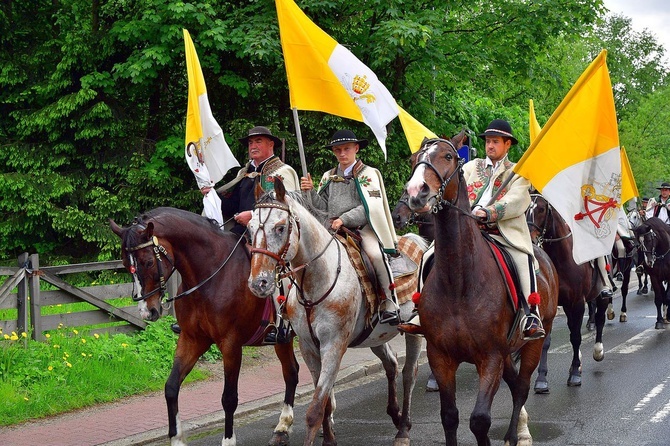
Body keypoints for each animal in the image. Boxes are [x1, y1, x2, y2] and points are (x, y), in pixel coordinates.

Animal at [110, 208, 300, 446]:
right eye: (126, 265)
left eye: (148, 262)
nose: (147, 311)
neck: (211, 276)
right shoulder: (192, 339)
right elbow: (171, 387)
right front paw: (177, 439)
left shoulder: (231, 345)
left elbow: (229, 398)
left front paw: (228, 440)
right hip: (285, 339)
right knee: (292, 371)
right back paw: (283, 427)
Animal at [247, 180, 430, 446]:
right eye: (250, 228)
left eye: (280, 228)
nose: (258, 283)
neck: (317, 282)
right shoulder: (309, 347)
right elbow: (323, 401)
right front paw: (329, 439)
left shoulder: (333, 345)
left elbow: (315, 409)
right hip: (375, 336)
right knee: (392, 364)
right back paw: (395, 415)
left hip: (413, 331)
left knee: (409, 373)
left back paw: (403, 429)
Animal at [402, 136, 560, 446]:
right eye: (414, 159)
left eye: (448, 156)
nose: (416, 193)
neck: (459, 282)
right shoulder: (441, 357)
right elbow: (449, 416)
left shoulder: (490, 358)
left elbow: (479, 420)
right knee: (514, 384)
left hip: (533, 343)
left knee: (522, 387)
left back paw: (516, 435)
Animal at [528, 193, 616, 390]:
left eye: (541, 209)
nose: (530, 239)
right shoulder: (551, 308)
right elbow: (546, 342)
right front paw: (541, 379)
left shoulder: (576, 303)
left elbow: (576, 337)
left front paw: (575, 373)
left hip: (600, 296)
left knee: (600, 320)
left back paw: (598, 351)